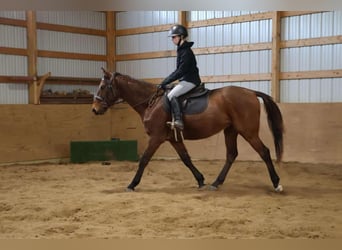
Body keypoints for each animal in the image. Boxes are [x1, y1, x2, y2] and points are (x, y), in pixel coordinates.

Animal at [92, 67, 284, 192]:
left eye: (102, 87)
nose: (94, 109)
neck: (151, 102)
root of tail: (251, 92)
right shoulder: (173, 138)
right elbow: (186, 159)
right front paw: (200, 180)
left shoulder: (156, 137)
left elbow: (144, 159)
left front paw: (132, 184)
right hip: (231, 130)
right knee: (231, 155)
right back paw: (216, 183)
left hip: (248, 131)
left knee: (264, 152)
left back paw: (276, 183)